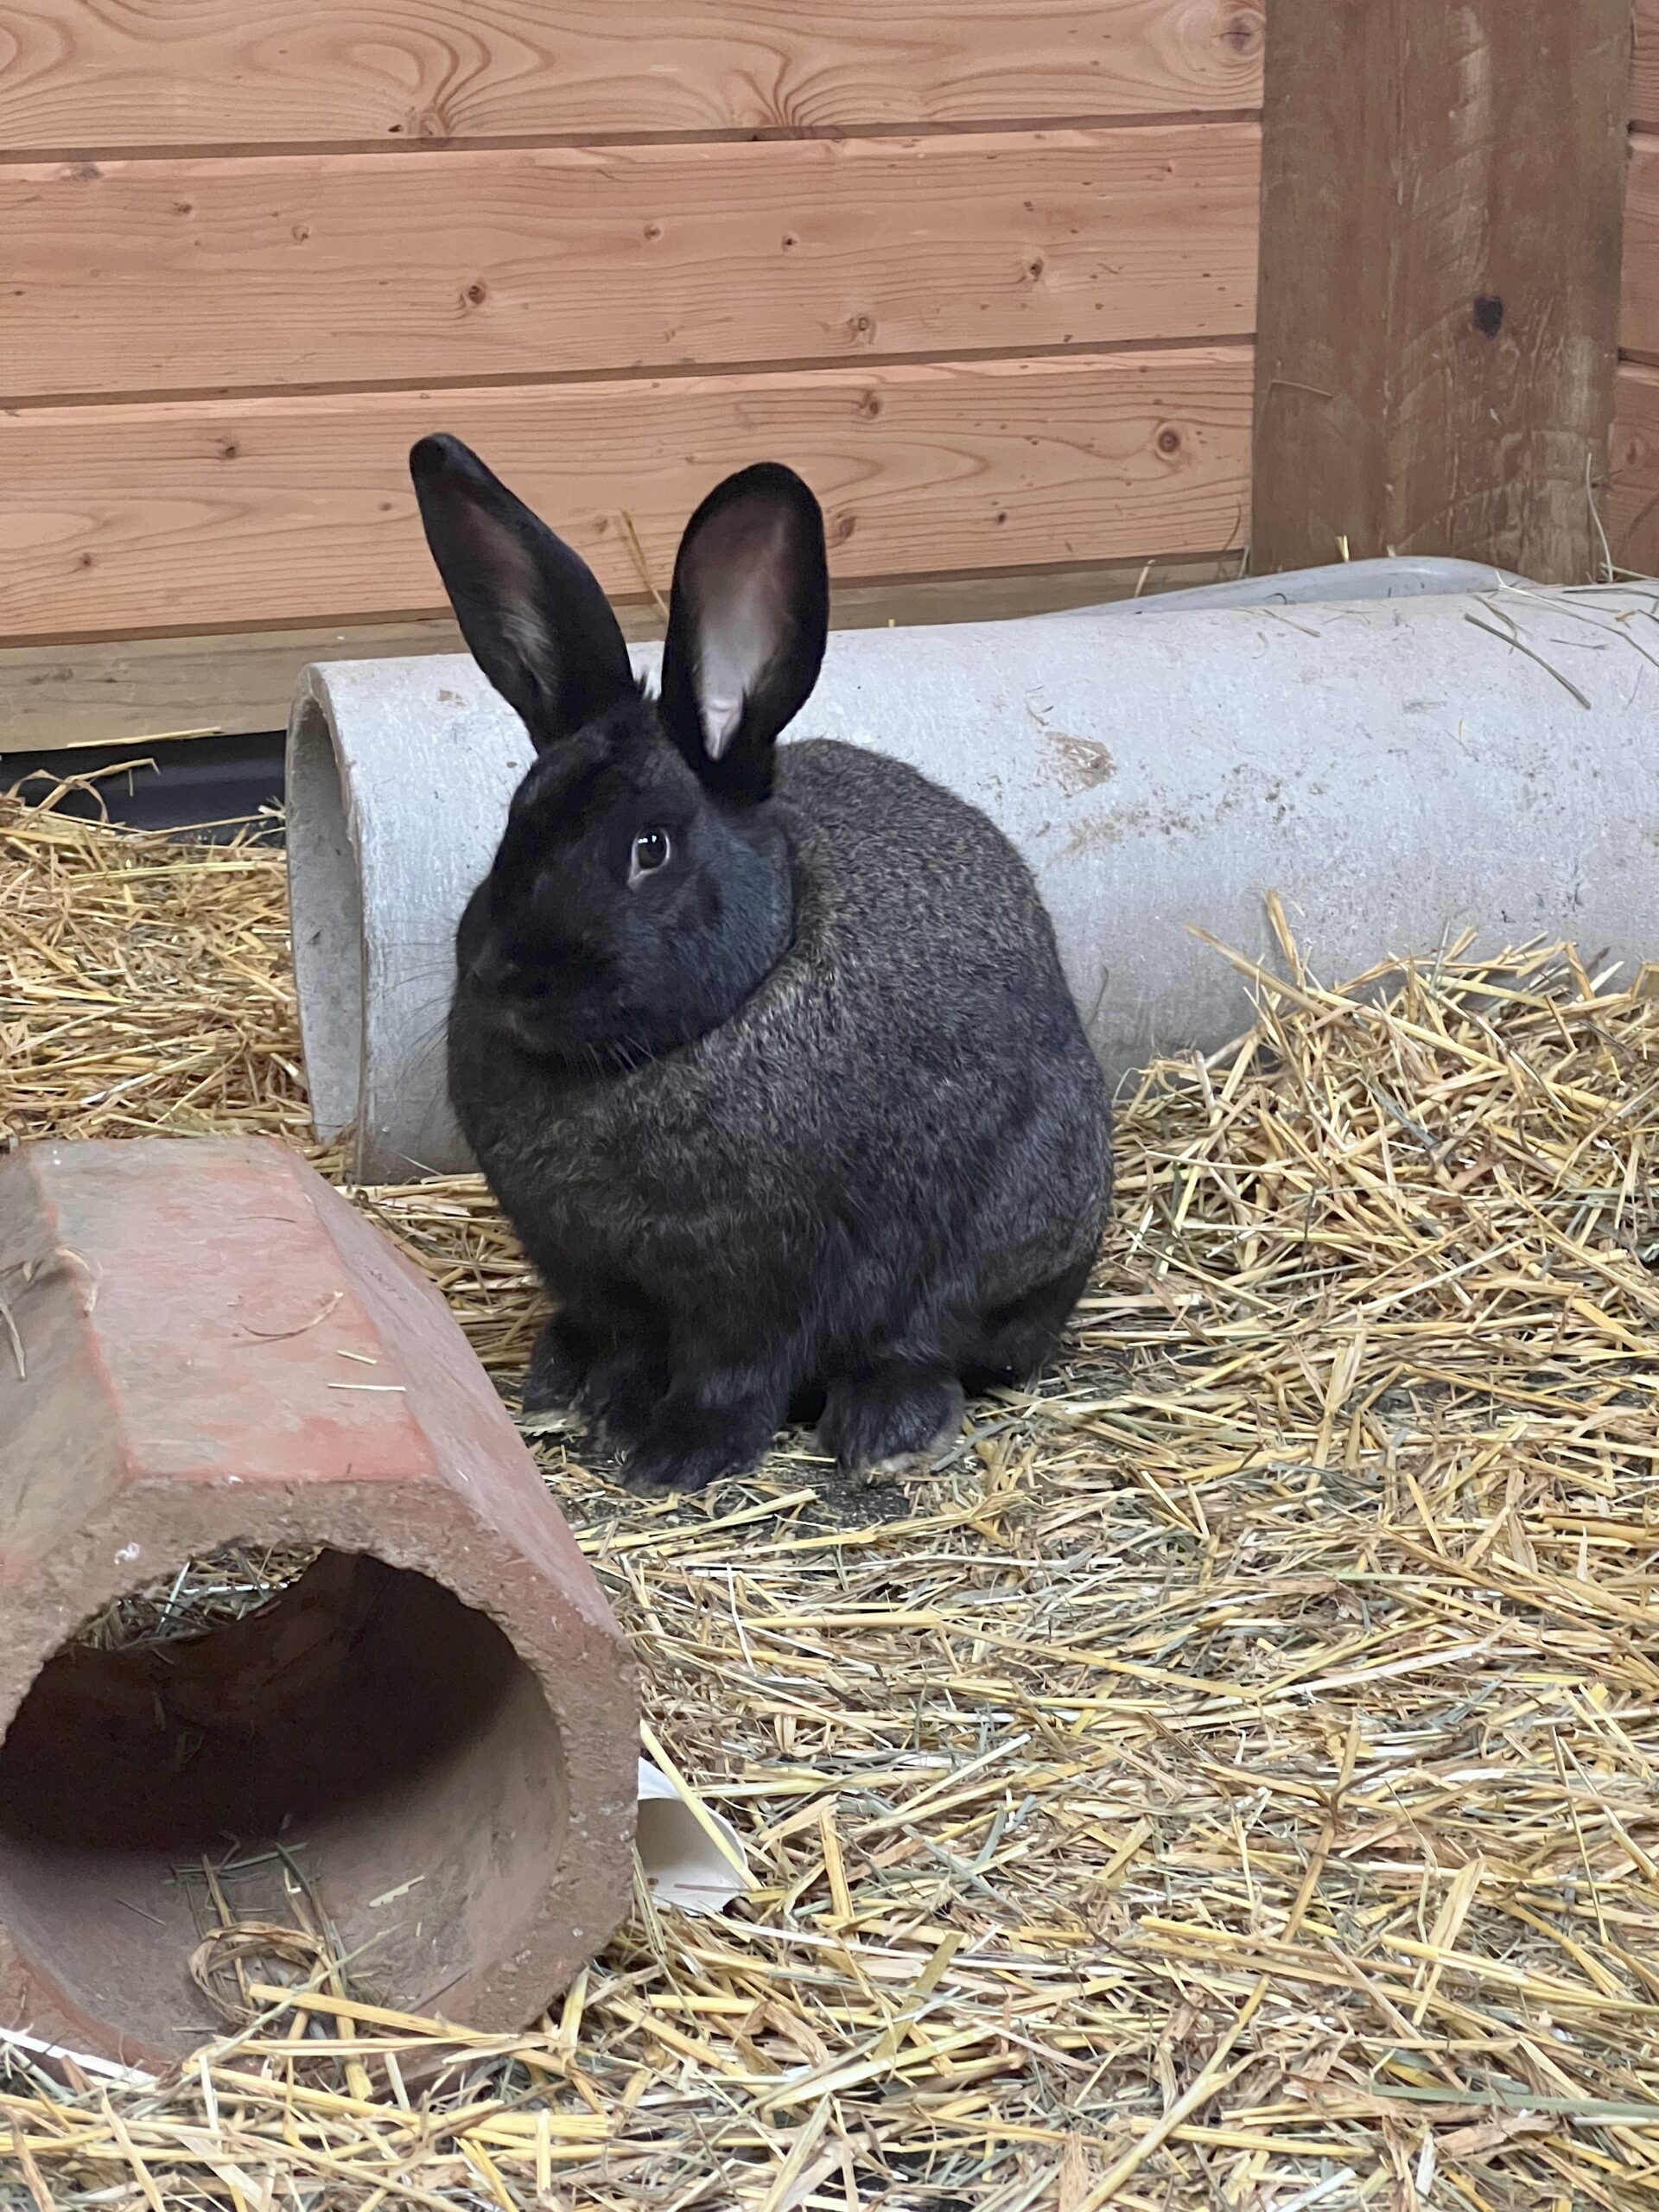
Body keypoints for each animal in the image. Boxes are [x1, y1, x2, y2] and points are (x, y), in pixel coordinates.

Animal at [410, 433, 1113, 1493]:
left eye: (650, 848)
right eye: (514, 821)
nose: (504, 977)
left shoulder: (758, 1288)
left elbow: (732, 1374)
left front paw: (672, 1457)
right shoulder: (592, 1273)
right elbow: (621, 1342)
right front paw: (588, 1406)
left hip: (1012, 1231)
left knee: (931, 1343)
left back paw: (889, 1433)